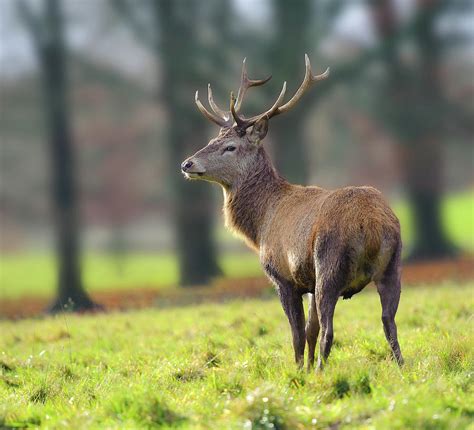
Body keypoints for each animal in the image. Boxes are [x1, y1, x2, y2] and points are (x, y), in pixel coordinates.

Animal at [181, 55, 404, 372]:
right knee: (388, 322)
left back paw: (323, 371)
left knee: (330, 330)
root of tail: (371, 226)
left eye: (230, 147)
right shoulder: (306, 279)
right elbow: (309, 329)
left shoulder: (283, 276)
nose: (187, 163)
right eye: (213, 139)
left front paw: (299, 371)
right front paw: (306, 369)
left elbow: (298, 333)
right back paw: (401, 368)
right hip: (393, 265)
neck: (261, 224)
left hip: (329, 265)